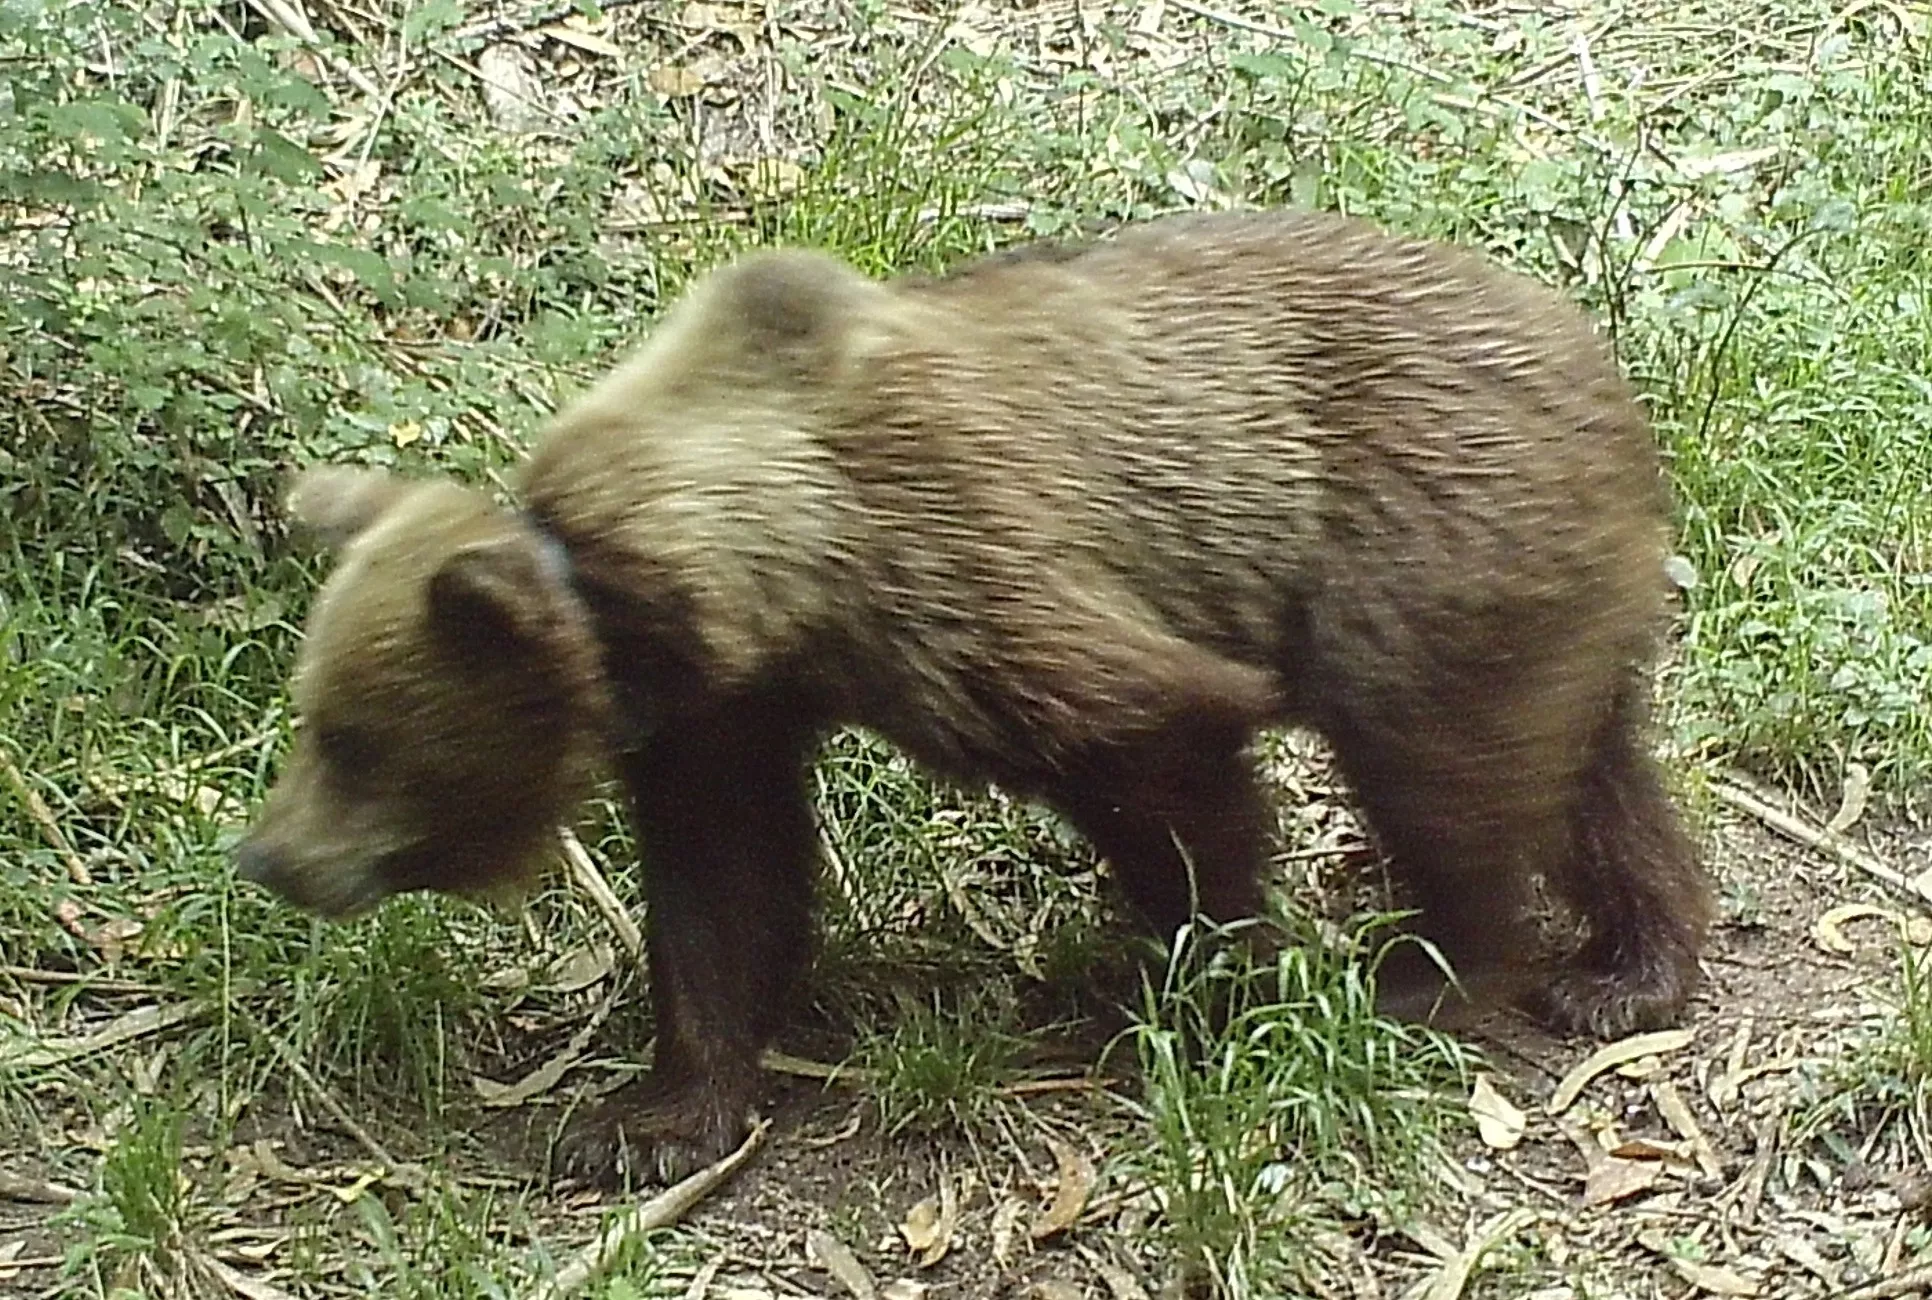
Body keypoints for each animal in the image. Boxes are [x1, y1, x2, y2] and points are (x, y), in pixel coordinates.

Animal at [237, 210, 1707, 1189]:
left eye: (350, 738)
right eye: (313, 717)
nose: (266, 856)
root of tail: (1607, 369)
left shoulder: (960, 578)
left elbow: (1167, 754)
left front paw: (1189, 982)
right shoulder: (727, 716)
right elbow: (726, 888)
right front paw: (649, 1120)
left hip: (1421, 547)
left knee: (1443, 771)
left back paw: (1432, 970)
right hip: (1539, 589)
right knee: (1597, 773)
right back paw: (1624, 972)